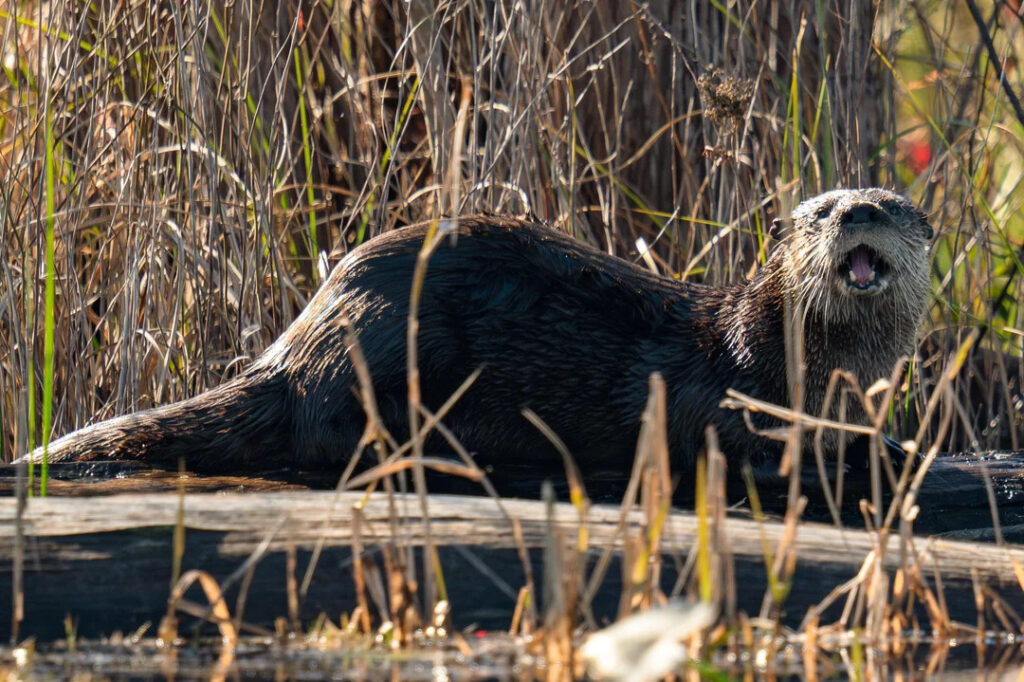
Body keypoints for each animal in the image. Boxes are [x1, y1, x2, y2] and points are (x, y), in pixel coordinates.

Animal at [21, 188, 932, 479]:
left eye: (890, 205)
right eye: (821, 210)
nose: (857, 212)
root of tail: (294, 343)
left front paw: (887, 446)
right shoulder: (722, 379)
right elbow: (727, 429)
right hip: (390, 334)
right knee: (324, 429)